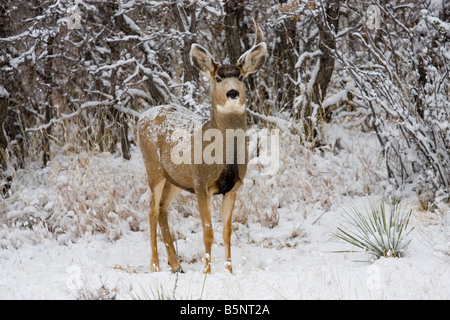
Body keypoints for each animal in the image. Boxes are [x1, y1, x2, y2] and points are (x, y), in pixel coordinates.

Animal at [138, 23, 268, 272]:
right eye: (218, 78)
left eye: (240, 76)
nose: (232, 93)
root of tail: (142, 117)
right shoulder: (201, 184)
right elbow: (208, 233)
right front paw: (207, 272)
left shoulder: (233, 187)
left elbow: (227, 232)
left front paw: (229, 271)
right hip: (154, 170)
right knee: (150, 211)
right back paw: (156, 266)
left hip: (175, 179)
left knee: (162, 209)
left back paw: (175, 265)